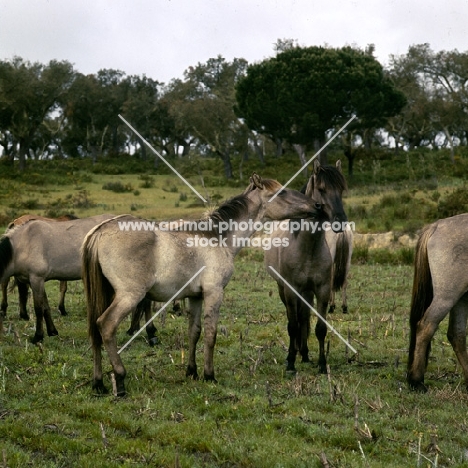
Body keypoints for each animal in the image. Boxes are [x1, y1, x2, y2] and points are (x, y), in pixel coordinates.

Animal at [0, 214, 114, 342]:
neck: (23, 243)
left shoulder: (36, 279)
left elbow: (38, 308)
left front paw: (38, 336)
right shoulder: (37, 281)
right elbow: (45, 307)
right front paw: (52, 331)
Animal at [81, 174, 322, 396]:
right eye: (281, 192)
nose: (317, 206)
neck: (218, 237)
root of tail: (101, 230)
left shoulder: (195, 297)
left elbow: (194, 332)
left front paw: (192, 371)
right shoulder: (214, 293)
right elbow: (210, 333)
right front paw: (209, 375)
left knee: (95, 331)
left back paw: (98, 383)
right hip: (129, 296)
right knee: (106, 325)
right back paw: (120, 379)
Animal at [266, 161, 350, 372]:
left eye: (341, 189)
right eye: (321, 189)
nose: (340, 221)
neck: (307, 248)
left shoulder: (322, 290)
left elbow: (320, 328)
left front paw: (322, 364)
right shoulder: (290, 290)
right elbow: (292, 325)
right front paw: (290, 362)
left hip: (307, 292)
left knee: (304, 317)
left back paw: (303, 353)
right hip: (284, 289)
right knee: (295, 319)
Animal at [408, 214, 468, 394]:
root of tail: (437, 225)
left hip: (461, 299)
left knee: (457, 335)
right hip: (446, 297)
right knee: (426, 326)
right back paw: (416, 381)